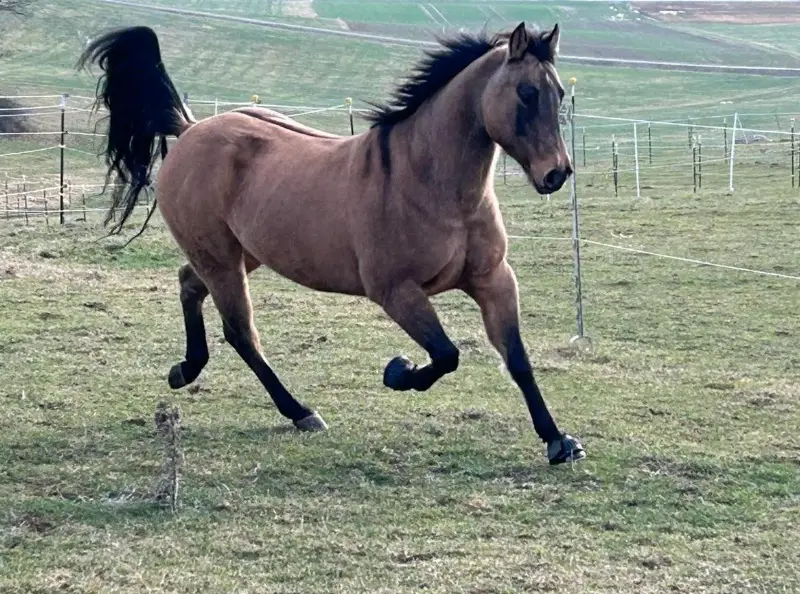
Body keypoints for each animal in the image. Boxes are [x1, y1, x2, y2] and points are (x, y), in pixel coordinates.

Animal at [78, 21, 585, 465]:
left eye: (559, 93)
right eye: (526, 93)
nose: (556, 174)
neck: (429, 184)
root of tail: (190, 130)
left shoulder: (493, 280)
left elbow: (517, 359)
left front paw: (559, 442)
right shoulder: (396, 292)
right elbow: (446, 355)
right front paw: (398, 372)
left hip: (242, 254)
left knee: (188, 284)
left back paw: (185, 370)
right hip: (221, 259)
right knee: (240, 331)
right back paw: (300, 412)